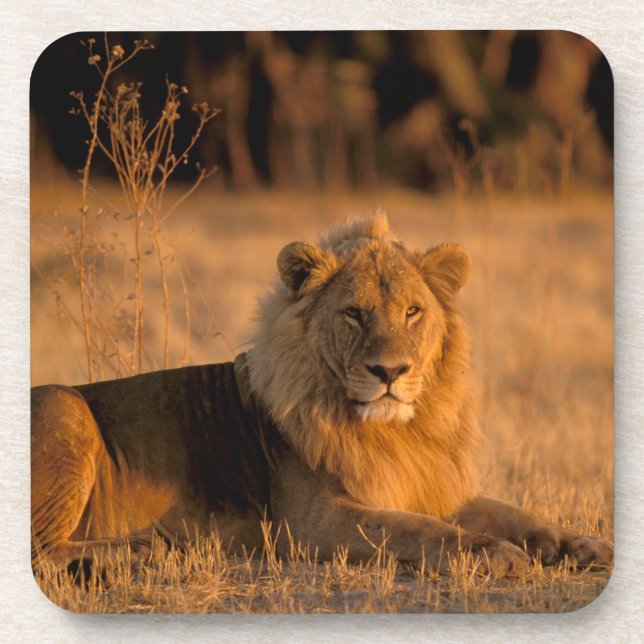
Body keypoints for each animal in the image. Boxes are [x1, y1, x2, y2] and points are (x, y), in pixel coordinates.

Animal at [32, 211, 613, 578]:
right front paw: (492, 553)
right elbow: (417, 531)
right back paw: (139, 552)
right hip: (65, 406)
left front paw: (579, 544)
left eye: (412, 312)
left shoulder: (429, 483)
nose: (390, 371)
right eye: (353, 313)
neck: (396, 432)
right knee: (39, 552)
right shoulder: (310, 523)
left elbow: (515, 512)